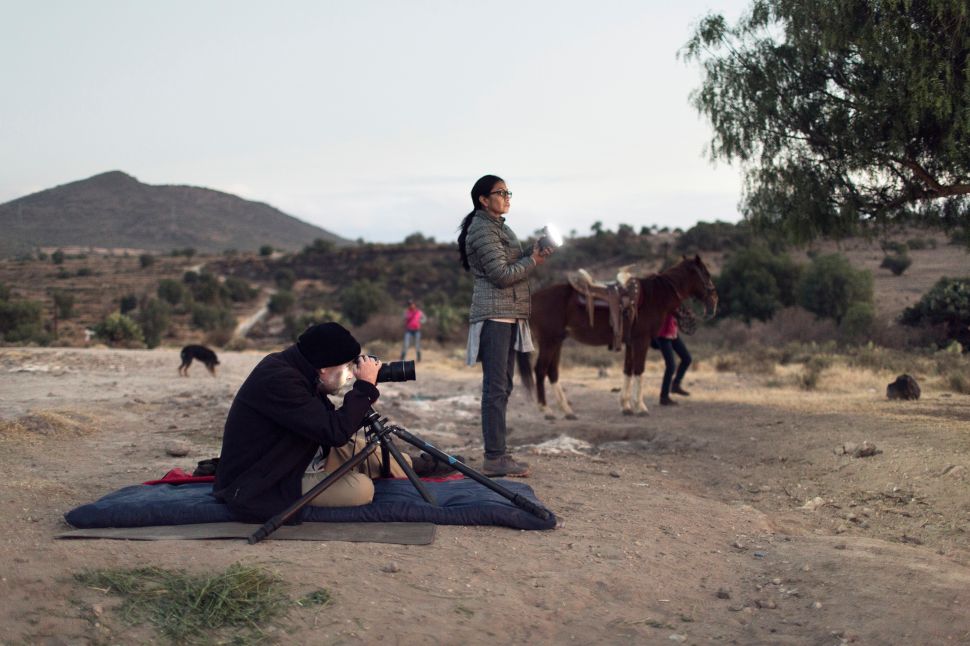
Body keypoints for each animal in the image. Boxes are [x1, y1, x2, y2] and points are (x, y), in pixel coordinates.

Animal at [520, 256, 720, 418]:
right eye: (706, 273)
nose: (714, 301)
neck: (654, 297)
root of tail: (534, 298)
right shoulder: (641, 341)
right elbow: (639, 370)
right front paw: (640, 407)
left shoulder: (631, 342)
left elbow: (628, 370)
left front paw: (626, 406)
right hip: (549, 341)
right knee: (540, 370)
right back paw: (546, 410)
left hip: (557, 342)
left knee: (552, 372)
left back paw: (567, 411)